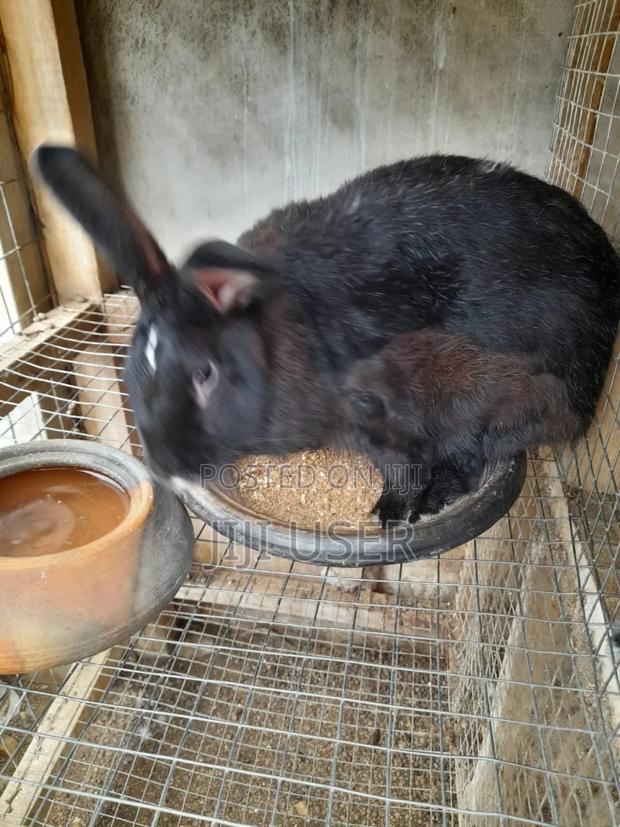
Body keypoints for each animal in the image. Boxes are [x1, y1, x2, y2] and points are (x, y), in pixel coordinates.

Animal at [31, 147, 620, 526]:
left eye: (205, 373)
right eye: (132, 366)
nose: (166, 467)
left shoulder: (387, 417)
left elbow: (403, 468)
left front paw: (391, 513)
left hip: (502, 401)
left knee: (472, 458)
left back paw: (432, 501)